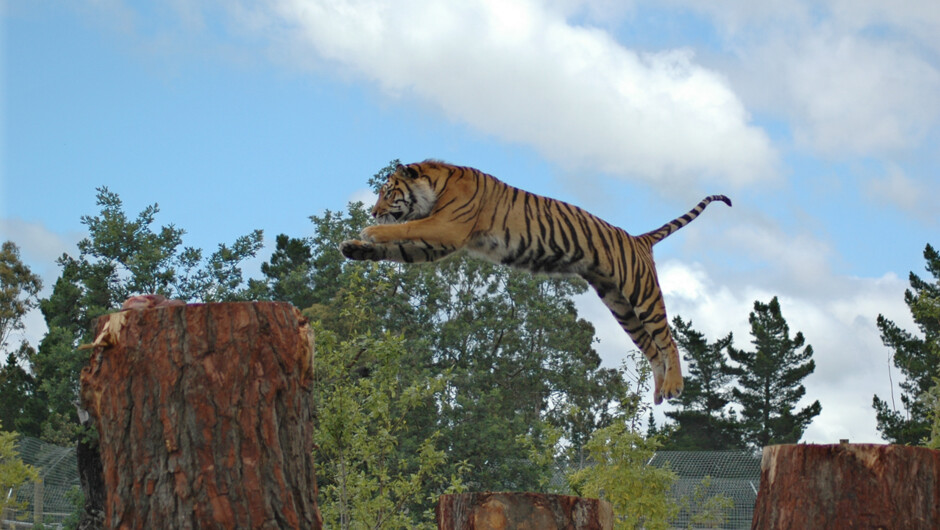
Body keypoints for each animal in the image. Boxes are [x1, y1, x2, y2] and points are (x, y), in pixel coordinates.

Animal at [340, 160, 731, 404]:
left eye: (388, 192)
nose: (373, 210)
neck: (437, 186)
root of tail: (639, 239)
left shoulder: (447, 227)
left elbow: (402, 228)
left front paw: (370, 230)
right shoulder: (437, 241)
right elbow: (399, 247)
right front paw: (355, 248)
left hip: (642, 292)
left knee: (668, 339)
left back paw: (675, 386)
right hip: (620, 305)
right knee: (651, 347)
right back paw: (660, 392)